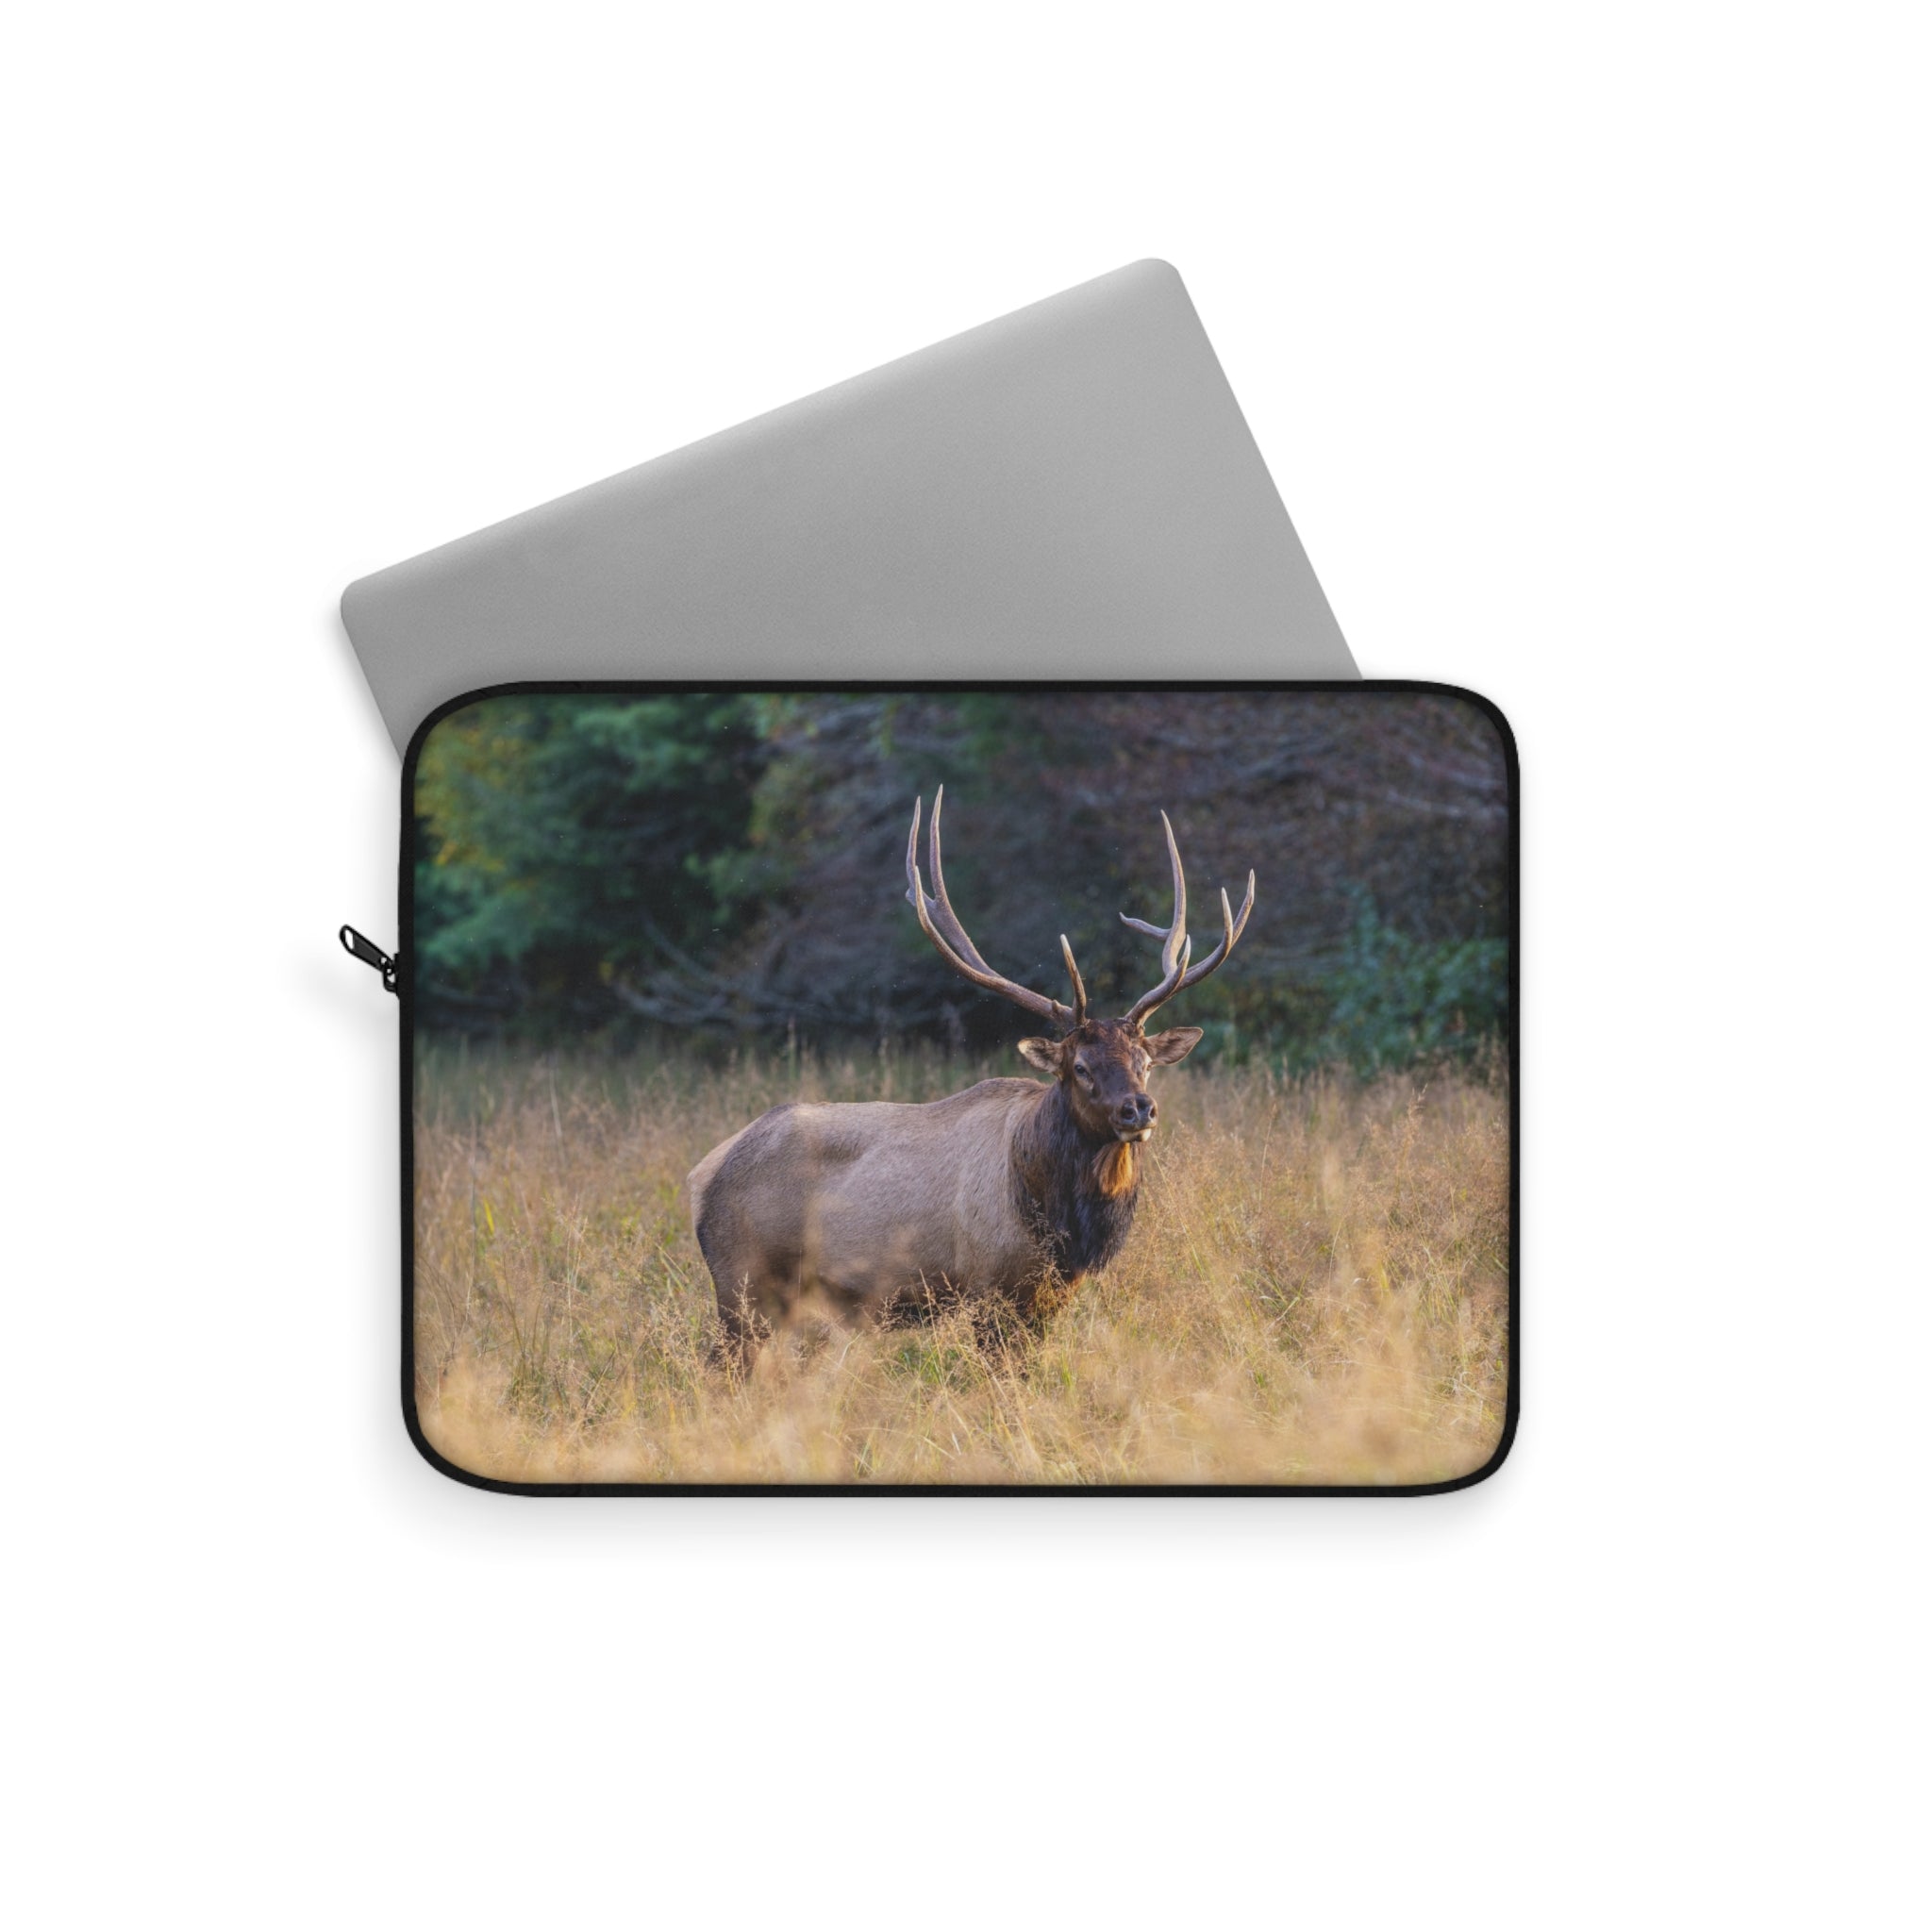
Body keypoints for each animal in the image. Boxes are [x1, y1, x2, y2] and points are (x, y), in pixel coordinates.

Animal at [687, 788, 1255, 1365]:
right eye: (1080, 1067)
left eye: (1145, 1063)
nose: (1138, 1108)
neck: (1059, 1220)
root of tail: (702, 1175)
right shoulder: (988, 1288)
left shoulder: (1048, 1296)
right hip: (743, 1281)